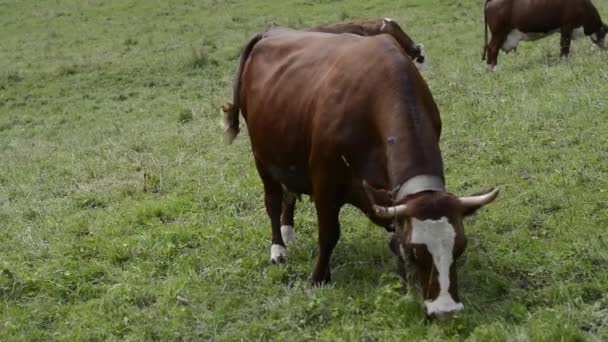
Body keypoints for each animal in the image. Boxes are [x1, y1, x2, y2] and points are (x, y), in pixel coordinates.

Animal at [223, 28, 498, 320]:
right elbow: (328, 235)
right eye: (415, 252)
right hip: (262, 158)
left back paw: (289, 232)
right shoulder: (325, 182)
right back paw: (278, 249)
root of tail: (272, 31)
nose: (445, 310)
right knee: (273, 202)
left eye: (460, 247)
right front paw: (318, 279)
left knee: (289, 195)